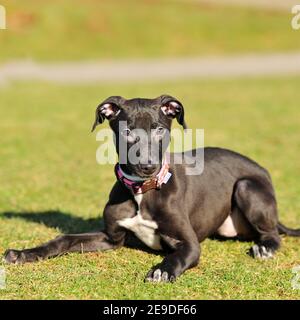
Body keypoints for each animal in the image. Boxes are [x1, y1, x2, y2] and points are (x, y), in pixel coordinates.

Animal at [4, 95, 300, 282]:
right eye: (127, 131)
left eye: (159, 129)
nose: (147, 166)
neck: (141, 192)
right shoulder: (111, 238)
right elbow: (64, 239)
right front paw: (24, 253)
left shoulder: (189, 244)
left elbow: (177, 257)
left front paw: (161, 271)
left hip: (246, 187)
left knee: (273, 233)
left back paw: (265, 247)